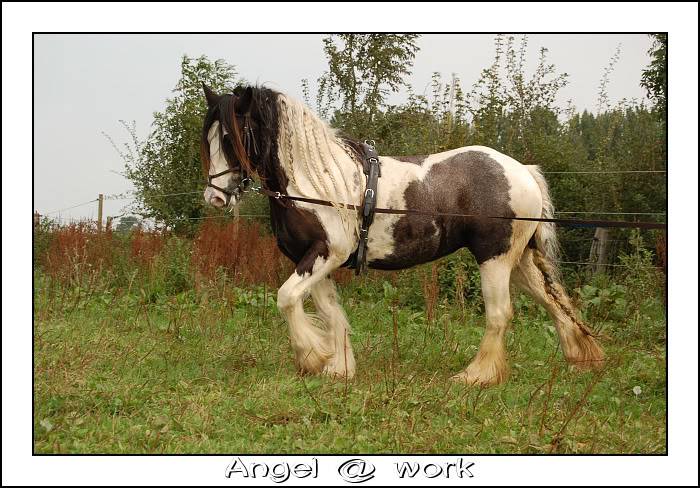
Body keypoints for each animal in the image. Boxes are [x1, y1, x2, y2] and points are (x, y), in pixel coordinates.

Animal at [200, 86, 604, 386]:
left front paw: (312, 356)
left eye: (229, 136)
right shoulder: (313, 259)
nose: (215, 197)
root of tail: (522, 170)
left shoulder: (326, 253)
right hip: (519, 261)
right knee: (554, 303)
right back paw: (580, 358)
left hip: (495, 259)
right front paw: (338, 367)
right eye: (209, 138)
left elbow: (286, 299)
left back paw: (476, 375)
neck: (316, 182)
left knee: (500, 313)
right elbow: (329, 312)